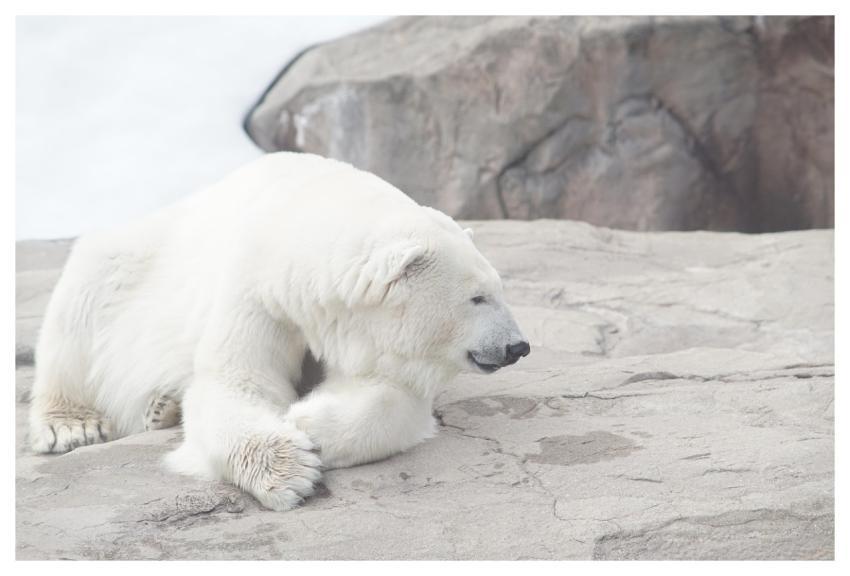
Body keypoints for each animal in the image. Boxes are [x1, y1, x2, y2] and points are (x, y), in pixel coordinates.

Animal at [28, 152, 530, 510]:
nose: (518, 346)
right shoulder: (258, 291)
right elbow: (236, 382)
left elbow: (391, 394)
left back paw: (161, 408)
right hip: (127, 265)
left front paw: (309, 422)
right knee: (79, 309)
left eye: (499, 288)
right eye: (478, 298)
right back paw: (72, 426)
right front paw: (290, 469)